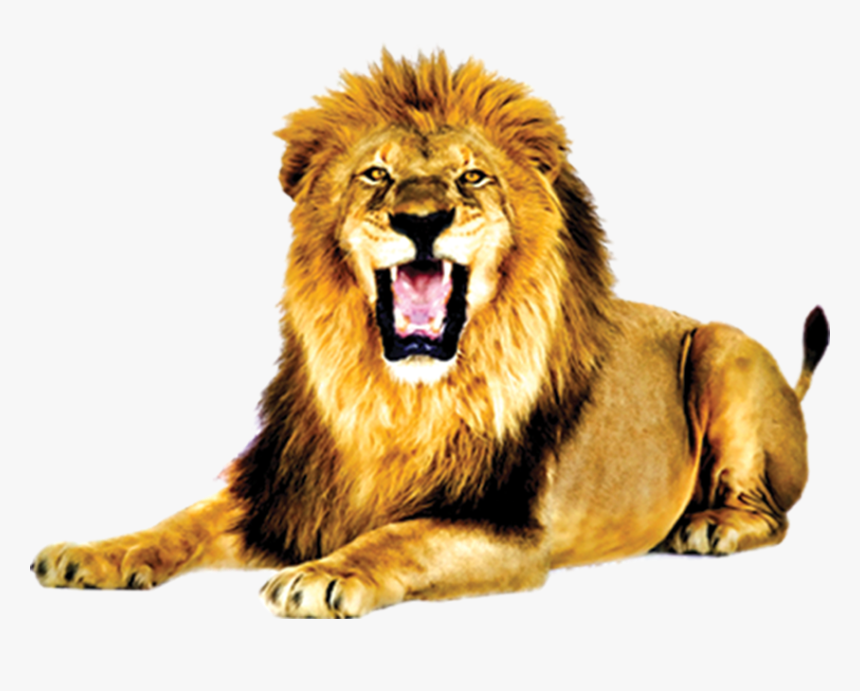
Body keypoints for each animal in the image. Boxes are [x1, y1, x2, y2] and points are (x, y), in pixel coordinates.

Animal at [32, 52, 829, 618]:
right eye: (375, 176)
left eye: (472, 177)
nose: (421, 219)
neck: (395, 396)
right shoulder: (285, 492)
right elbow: (181, 520)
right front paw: (92, 554)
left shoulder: (507, 528)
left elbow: (402, 534)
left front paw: (325, 574)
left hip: (722, 348)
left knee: (774, 515)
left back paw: (710, 525)